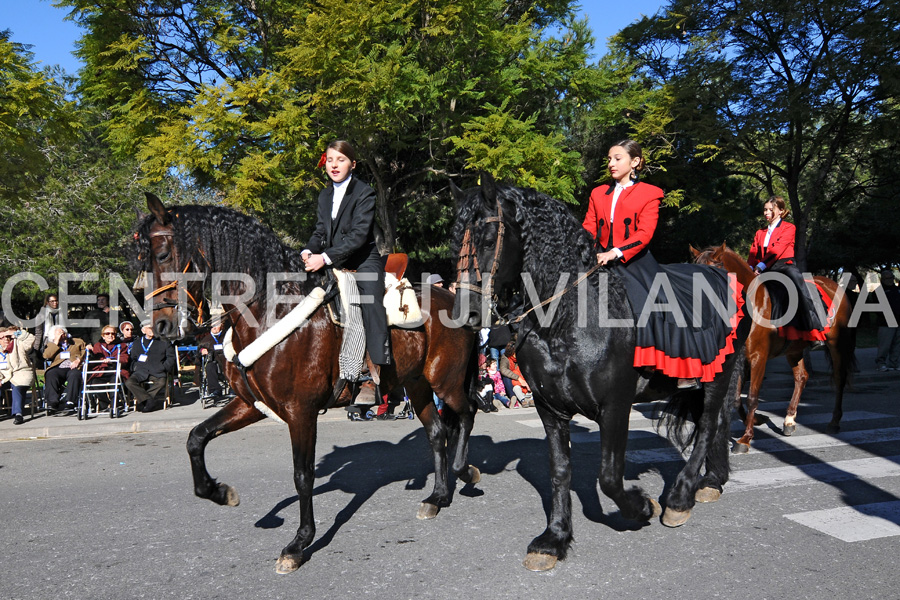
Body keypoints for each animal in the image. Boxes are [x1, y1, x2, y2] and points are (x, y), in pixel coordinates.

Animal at [132, 192, 478, 572]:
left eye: (163, 255)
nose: (159, 326)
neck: (270, 311)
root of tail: (457, 300)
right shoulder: (251, 404)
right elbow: (197, 437)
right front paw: (220, 492)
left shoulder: (301, 412)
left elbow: (302, 475)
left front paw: (299, 543)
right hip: (416, 385)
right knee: (437, 431)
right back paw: (438, 496)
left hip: (445, 381)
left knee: (467, 413)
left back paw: (464, 471)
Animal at [454, 175, 748, 572]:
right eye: (455, 239)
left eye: (486, 240)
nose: (464, 314)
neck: (568, 319)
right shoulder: (550, 408)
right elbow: (560, 470)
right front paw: (554, 539)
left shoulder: (615, 406)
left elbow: (609, 476)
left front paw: (642, 506)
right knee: (716, 423)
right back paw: (711, 482)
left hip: (719, 373)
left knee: (707, 425)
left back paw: (680, 497)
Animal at [692, 241, 856, 452]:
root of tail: (834, 285)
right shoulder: (740, 359)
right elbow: (736, 398)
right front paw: (757, 420)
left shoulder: (758, 357)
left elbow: (752, 396)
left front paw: (745, 438)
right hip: (794, 350)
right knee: (801, 377)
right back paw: (789, 421)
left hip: (837, 344)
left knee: (838, 378)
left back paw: (834, 422)